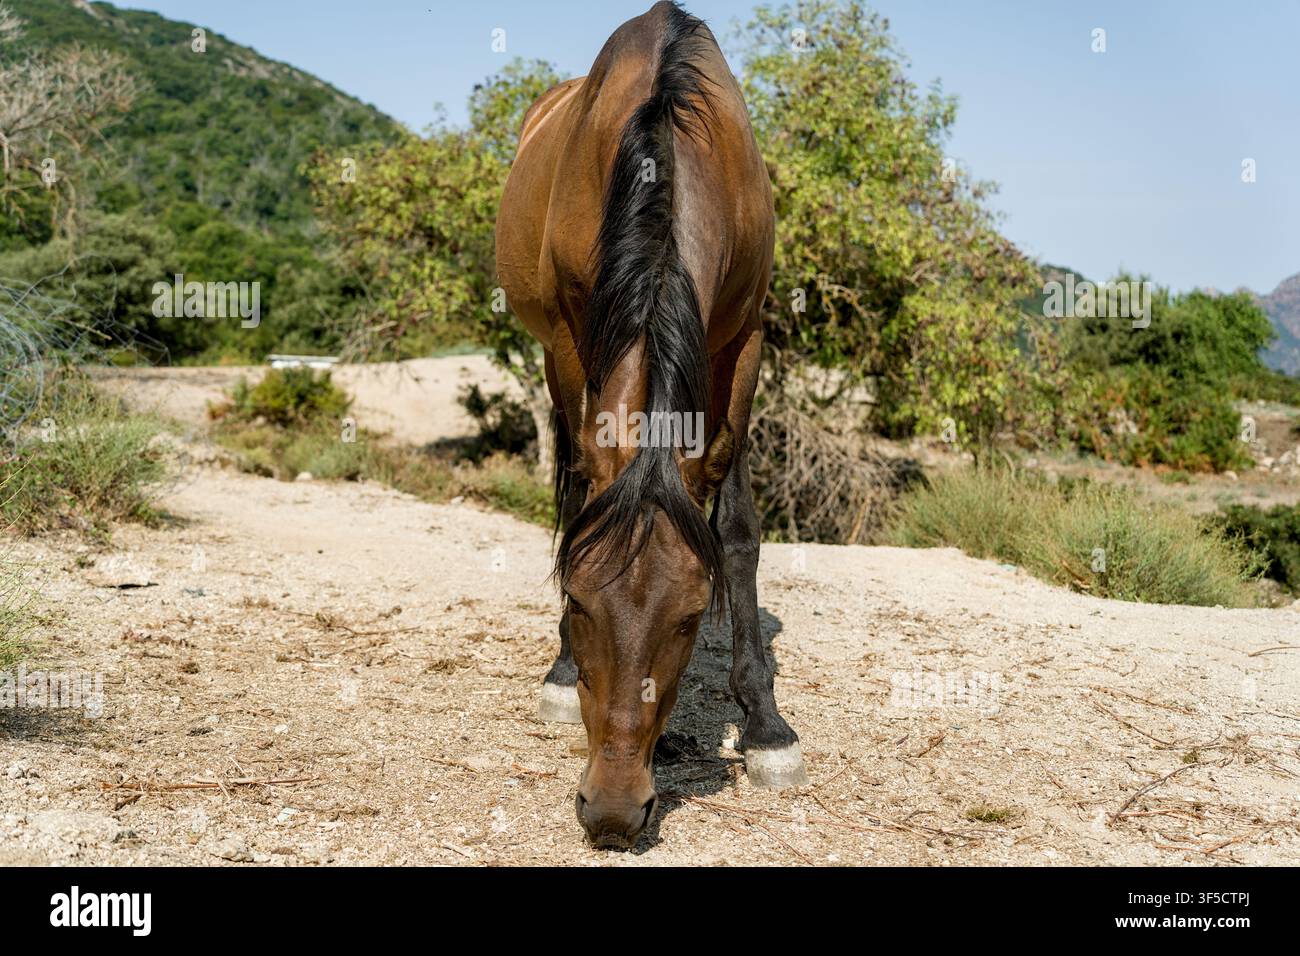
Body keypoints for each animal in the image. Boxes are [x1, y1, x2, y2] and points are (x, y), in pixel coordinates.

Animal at [496, 0, 806, 849]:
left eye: (694, 617)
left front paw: (765, 724)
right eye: (576, 600)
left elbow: (734, 529)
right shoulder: (573, 338)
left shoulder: (744, 338)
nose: (610, 810)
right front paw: (567, 671)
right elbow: (581, 488)